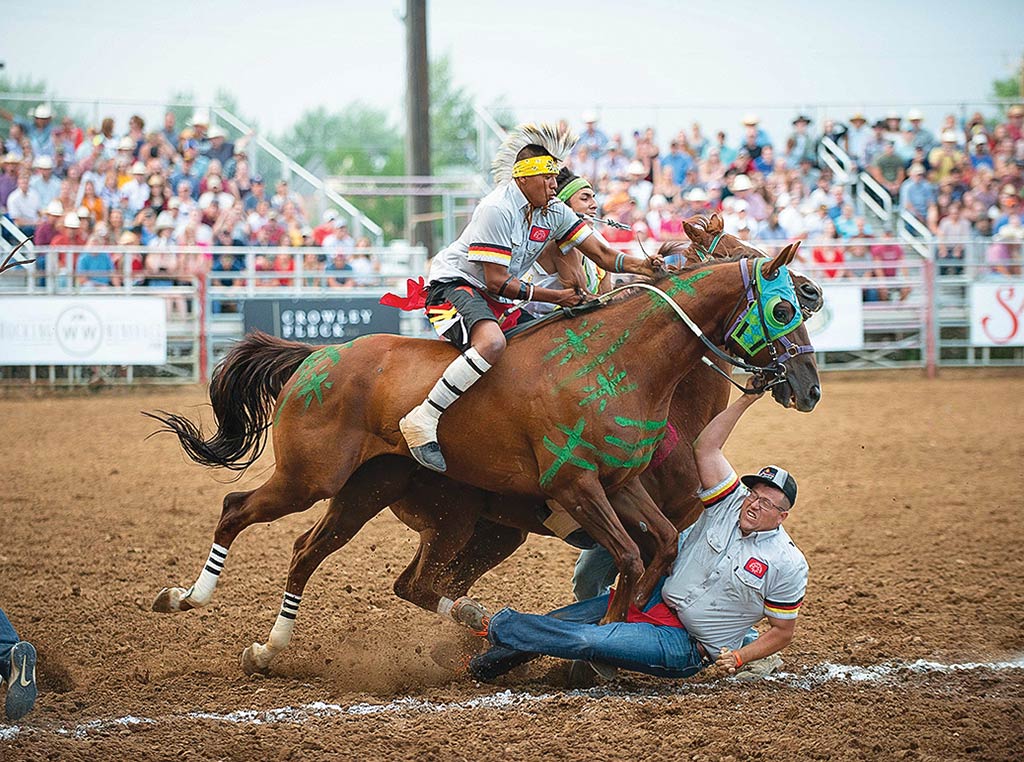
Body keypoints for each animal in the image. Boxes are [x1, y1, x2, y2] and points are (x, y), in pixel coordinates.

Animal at [148, 240, 819, 667]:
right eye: (784, 305)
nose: (808, 386)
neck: (616, 361)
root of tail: (319, 354)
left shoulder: (621, 485)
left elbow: (658, 550)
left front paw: (609, 635)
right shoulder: (577, 485)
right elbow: (631, 556)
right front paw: (597, 648)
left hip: (377, 494)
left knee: (317, 554)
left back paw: (272, 648)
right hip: (311, 478)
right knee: (237, 509)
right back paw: (187, 597)